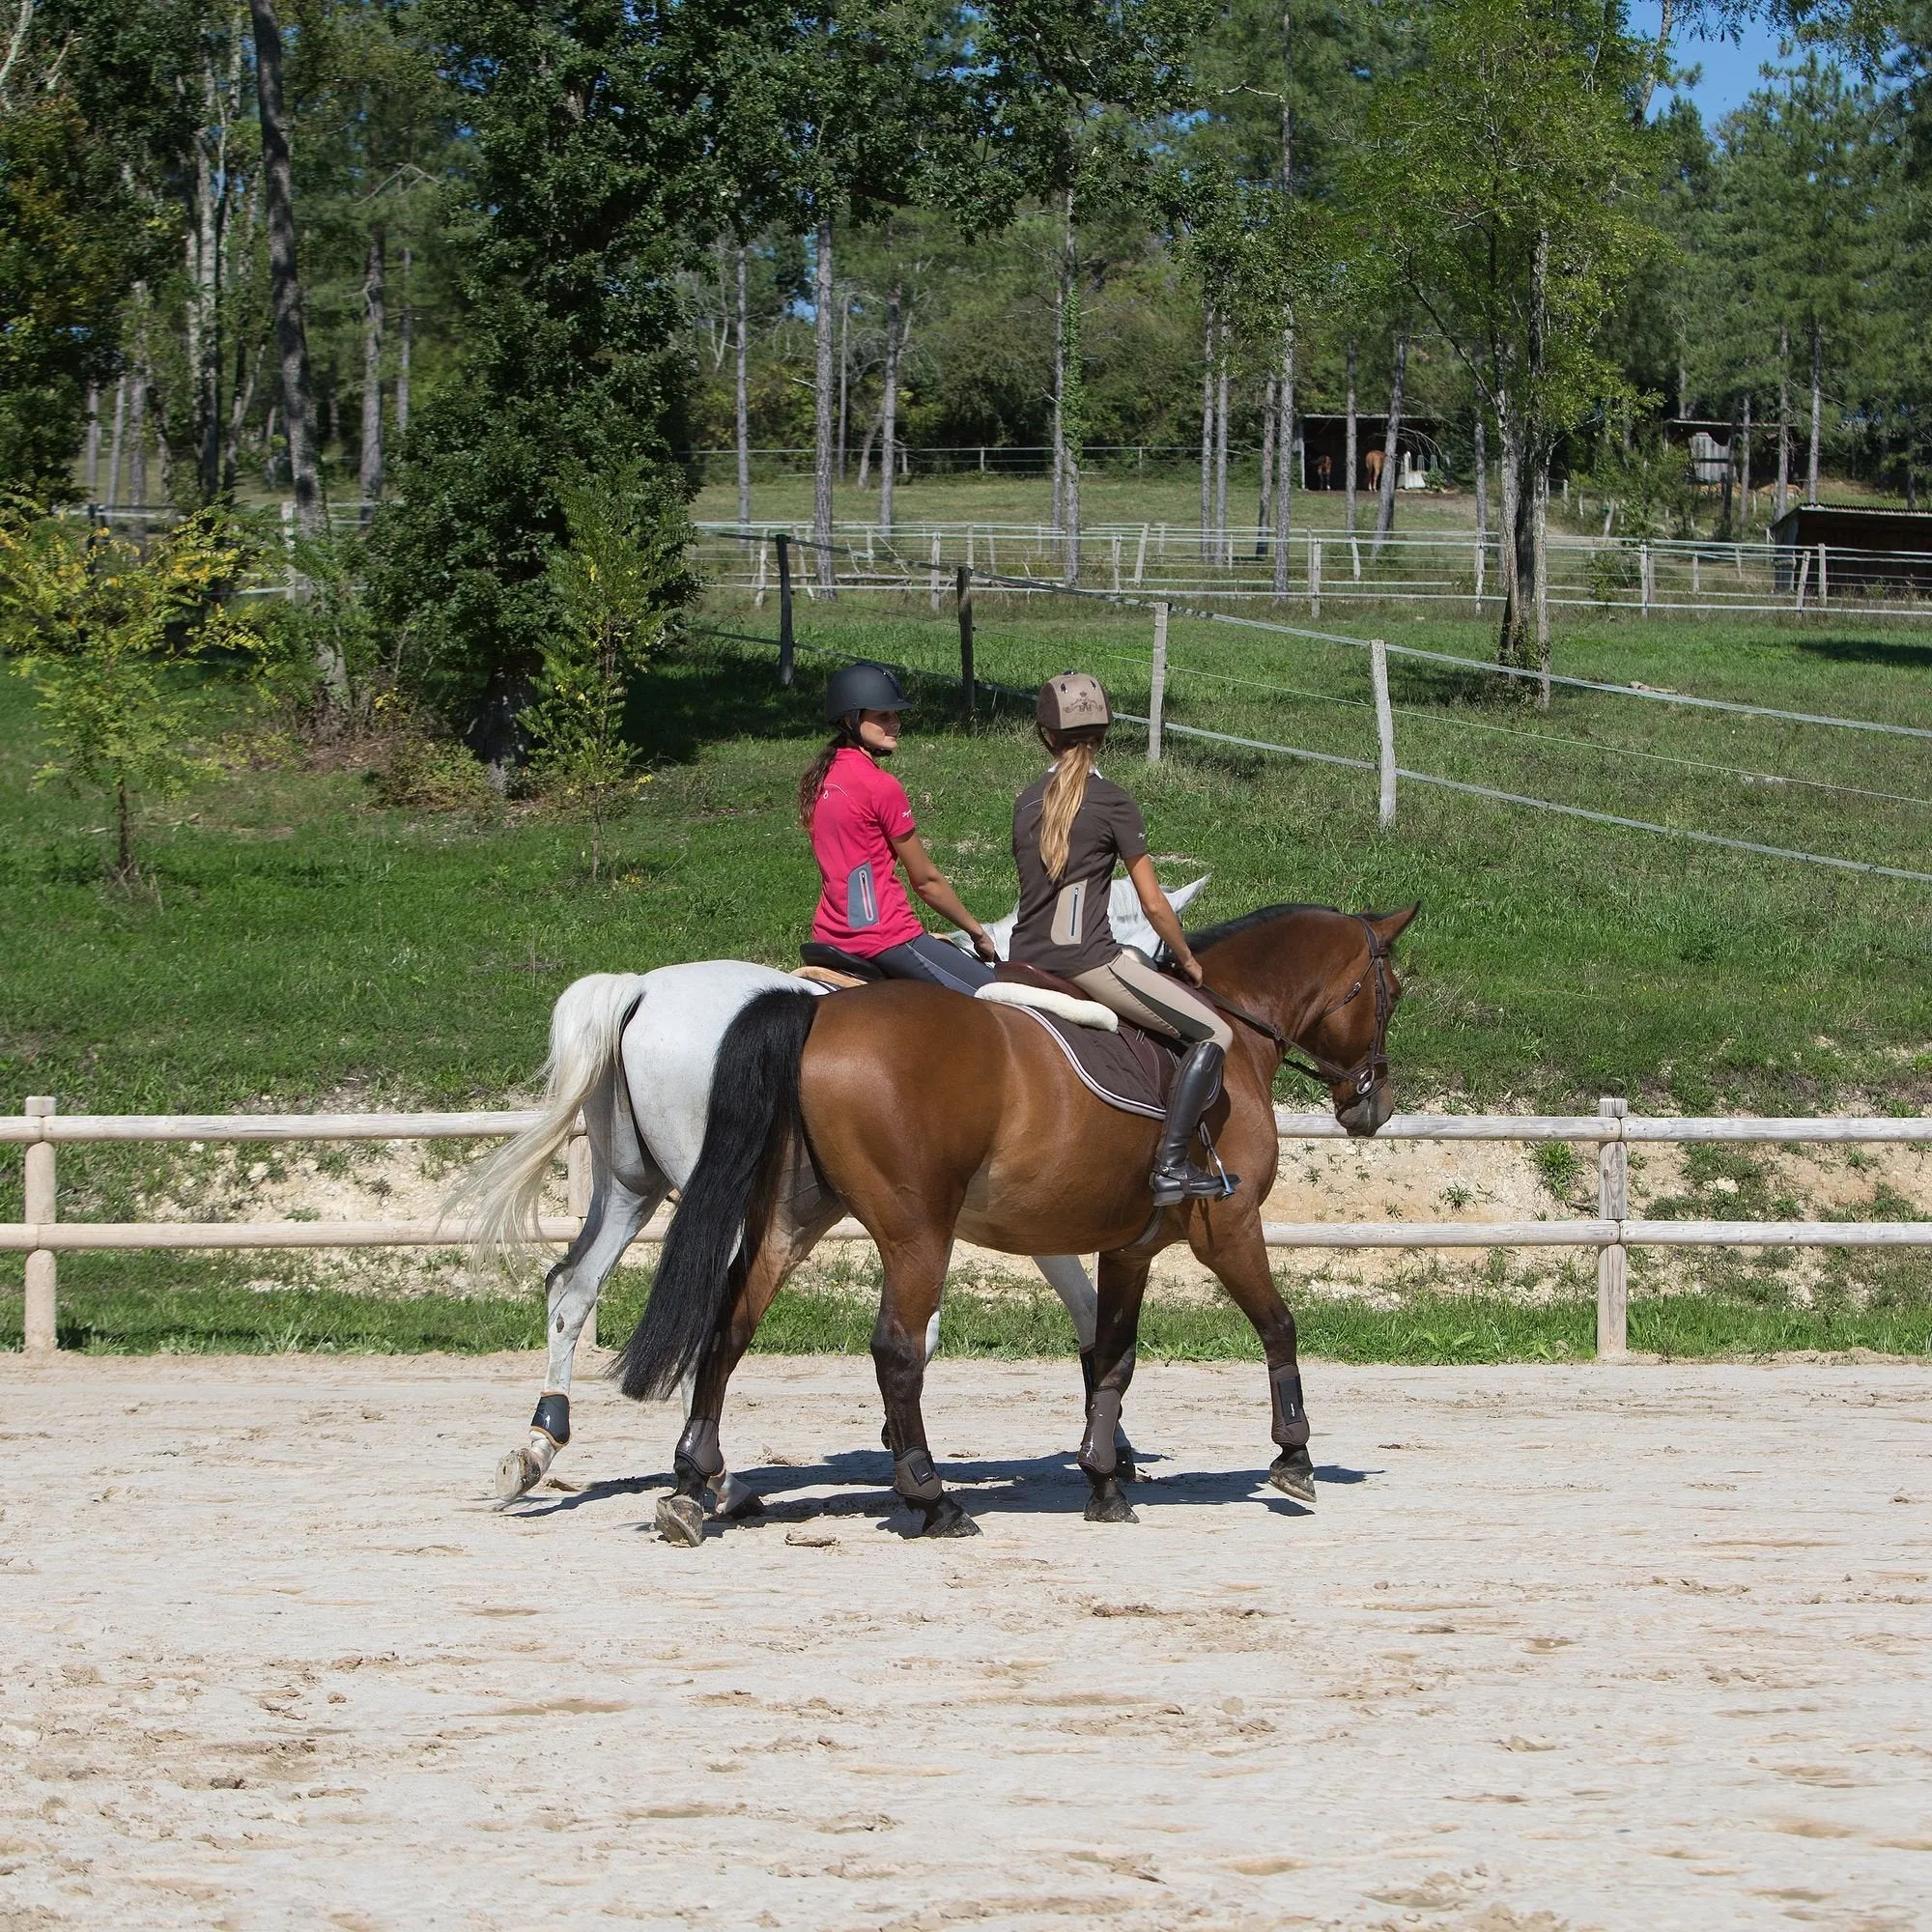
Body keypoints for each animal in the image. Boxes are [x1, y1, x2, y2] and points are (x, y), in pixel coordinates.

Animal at [618, 896, 1422, 1546]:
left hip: (795, 1219)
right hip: (917, 1233)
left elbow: (1114, 1357)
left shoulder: (1130, 1250)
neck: (1230, 1028)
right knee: (896, 1351)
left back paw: (693, 1484)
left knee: (730, 1325)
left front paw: (1104, 1480)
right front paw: (1295, 1456)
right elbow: (1278, 1325)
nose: (1373, 1106)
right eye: (1392, 993)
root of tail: (820, 1010)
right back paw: (933, 1499)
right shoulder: (1229, 1227)